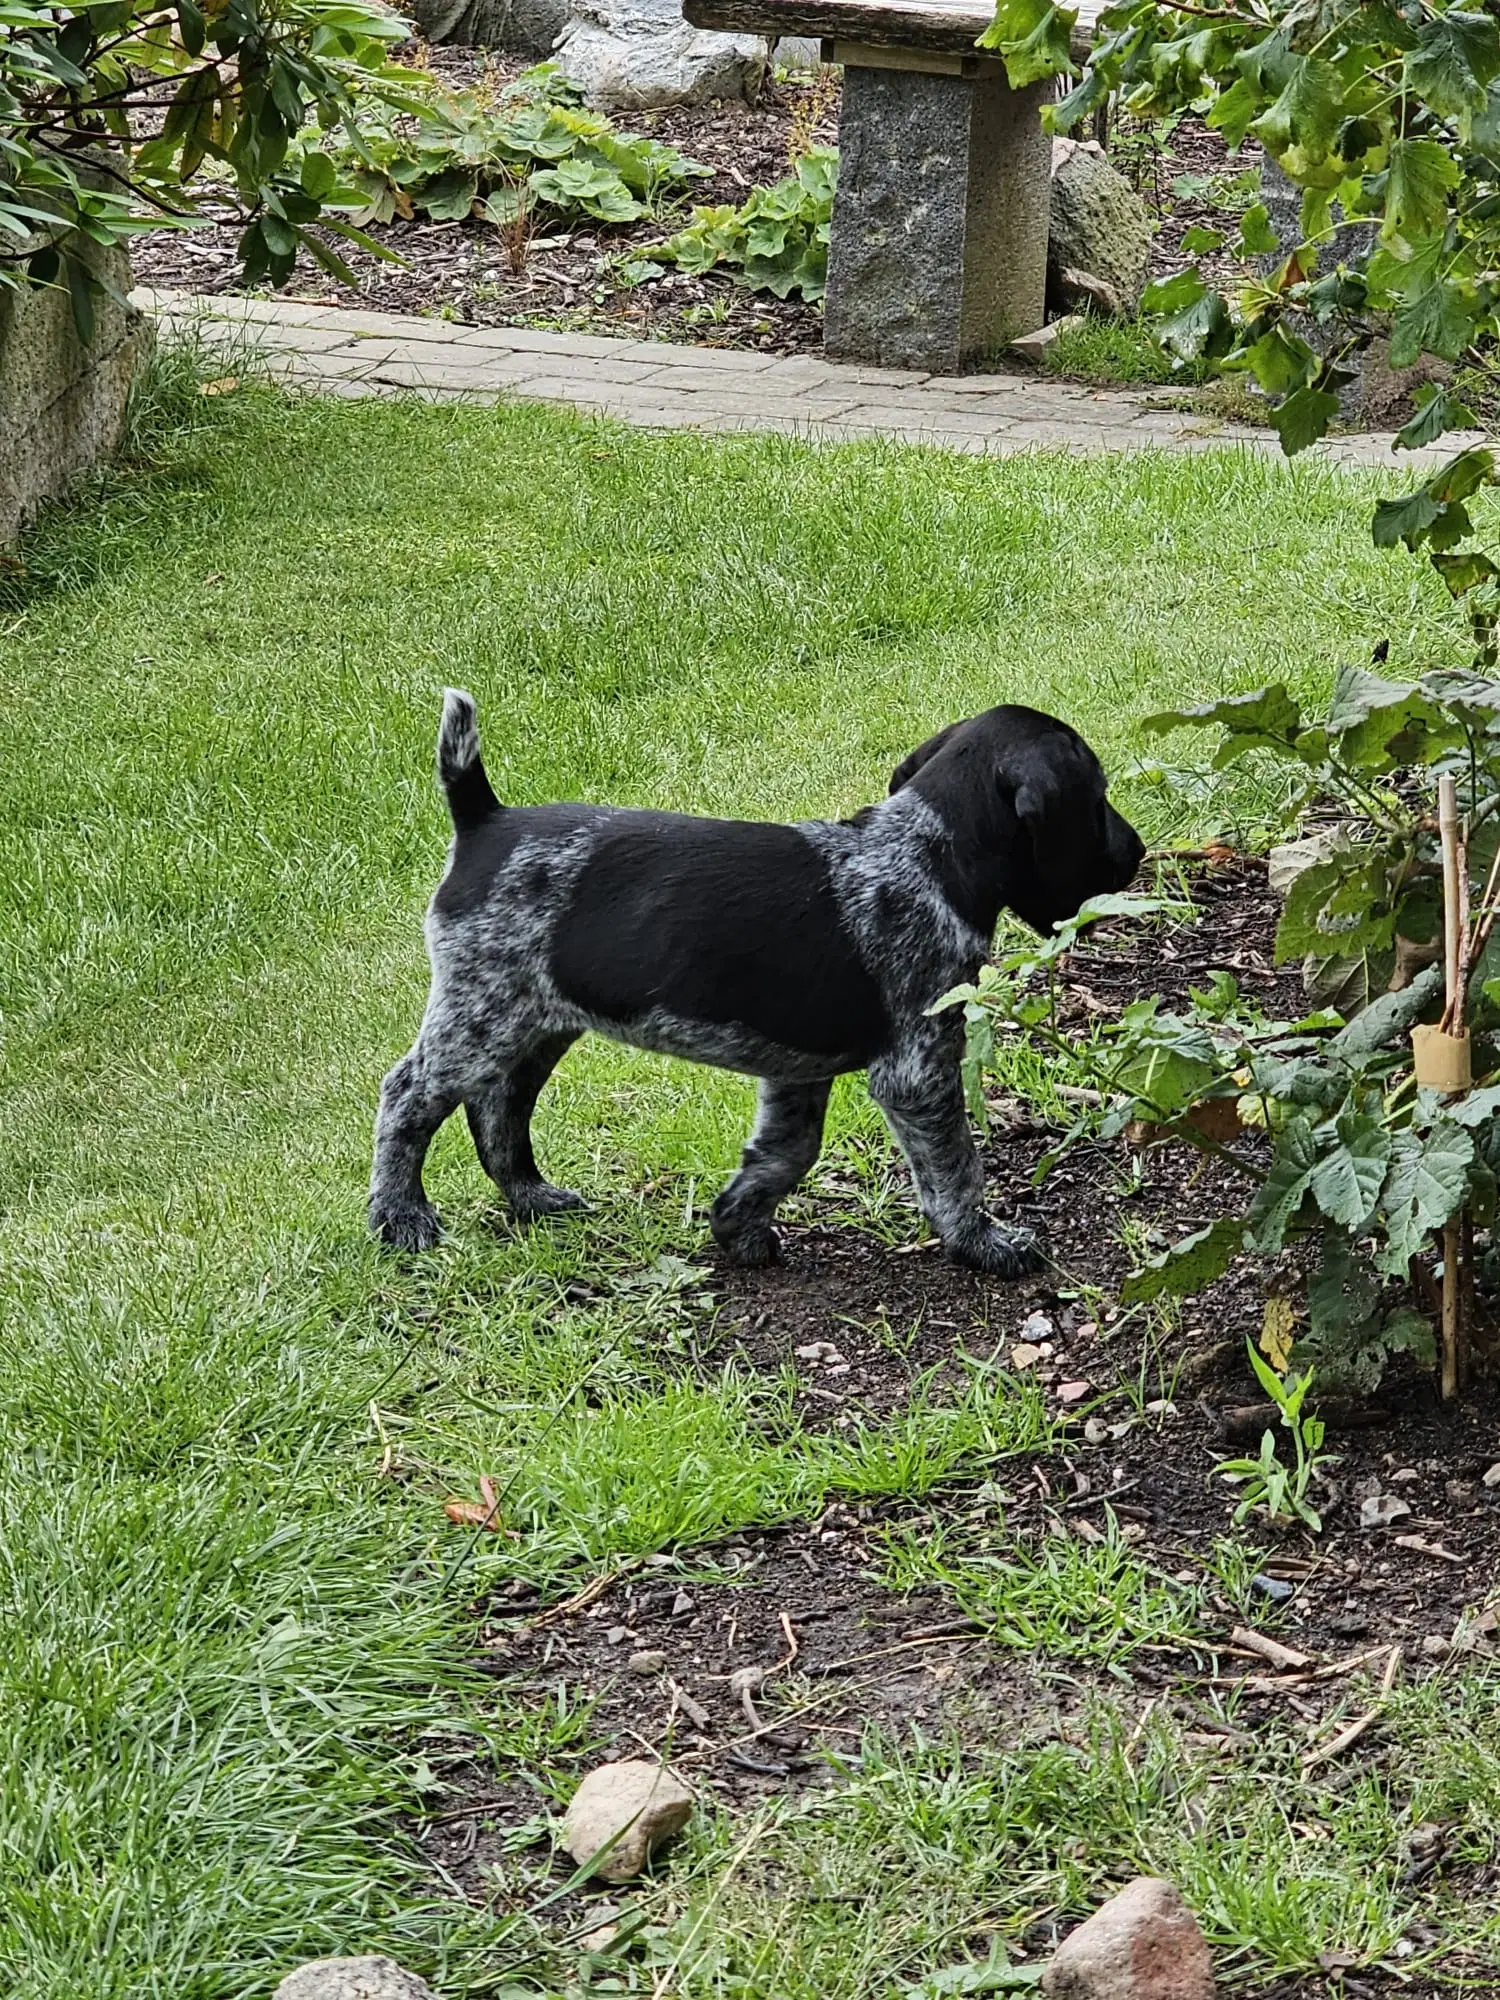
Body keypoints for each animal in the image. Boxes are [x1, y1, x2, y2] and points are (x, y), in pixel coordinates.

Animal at [370, 696, 1144, 1272]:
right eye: (1097, 798)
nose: (1137, 854)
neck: (929, 850)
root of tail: (484, 819)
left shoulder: (797, 1072)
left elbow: (785, 1153)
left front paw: (737, 1226)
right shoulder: (917, 1070)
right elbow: (955, 1170)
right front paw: (983, 1244)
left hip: (537, 1018)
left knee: (499, 1106)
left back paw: (531, 1197)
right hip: (483, 1014)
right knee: (407, 1097)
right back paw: (400, 1219)